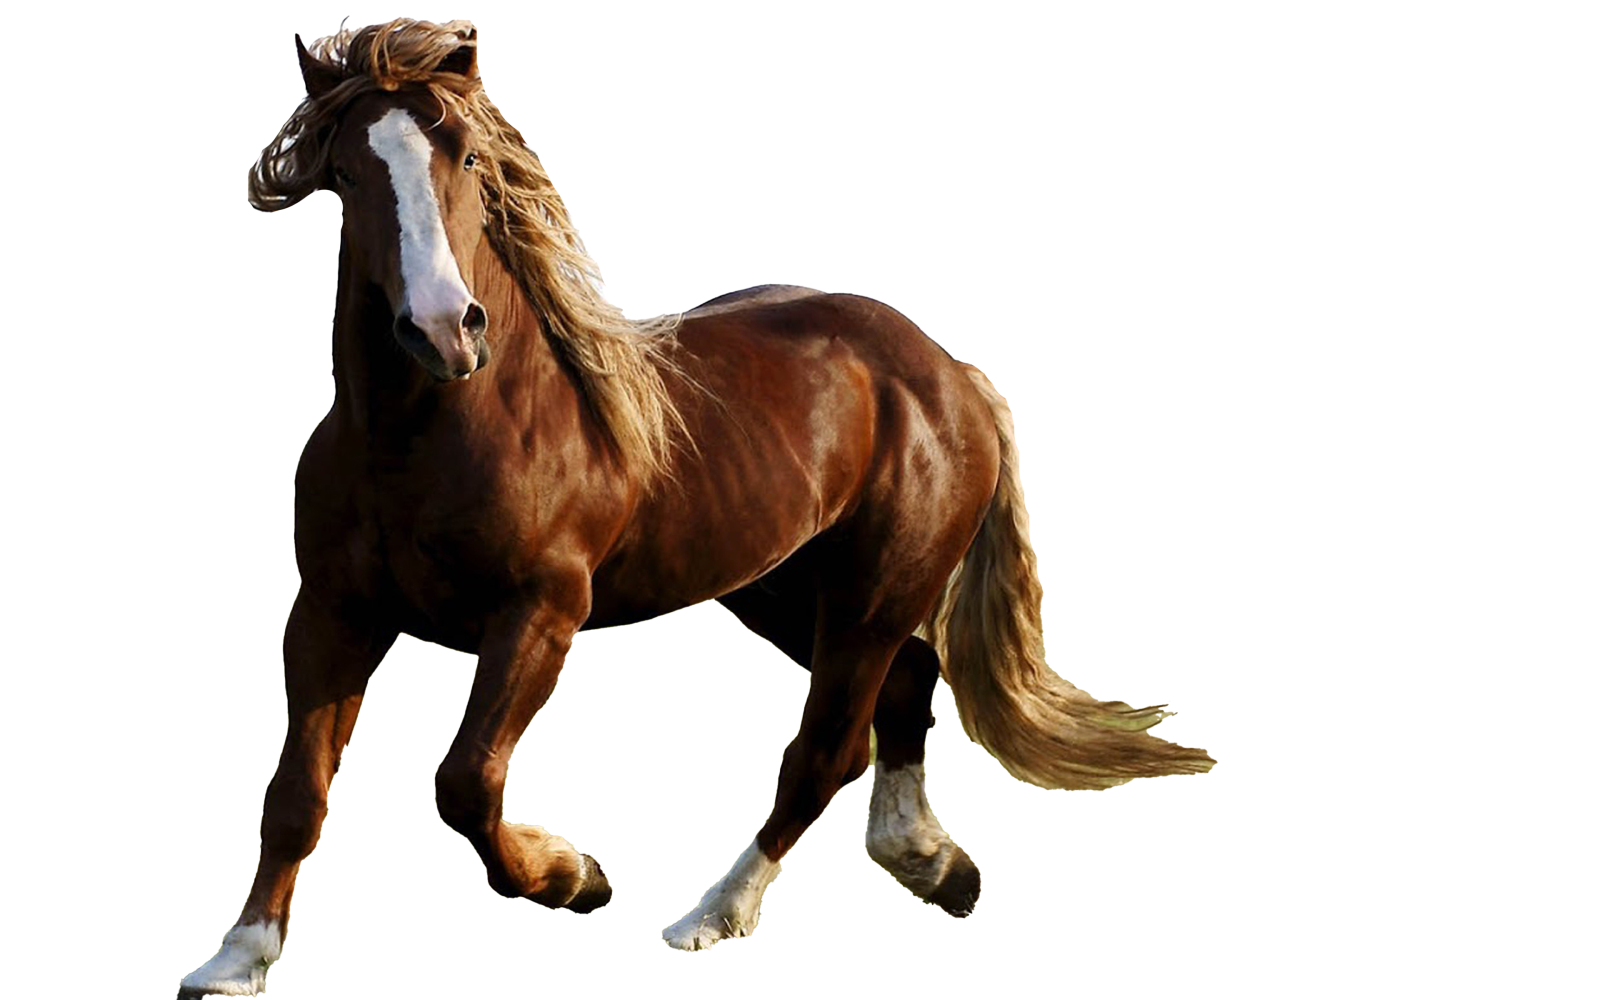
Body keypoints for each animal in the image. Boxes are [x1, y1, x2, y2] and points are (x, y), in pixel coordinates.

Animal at [179, 17, 1214, 997]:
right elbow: (296, 792)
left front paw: (575, 877)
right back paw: (931, 865)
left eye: (466, 157)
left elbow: (465, 781)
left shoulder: (540, 615)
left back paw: (712, 916)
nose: (443, 330)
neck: (435, 434)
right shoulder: (331, 615)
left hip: (872, 598)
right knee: (907, 687)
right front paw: (237, 959)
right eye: (346, 175)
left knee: (823, 750)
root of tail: (950, 373)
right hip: (779, 591)